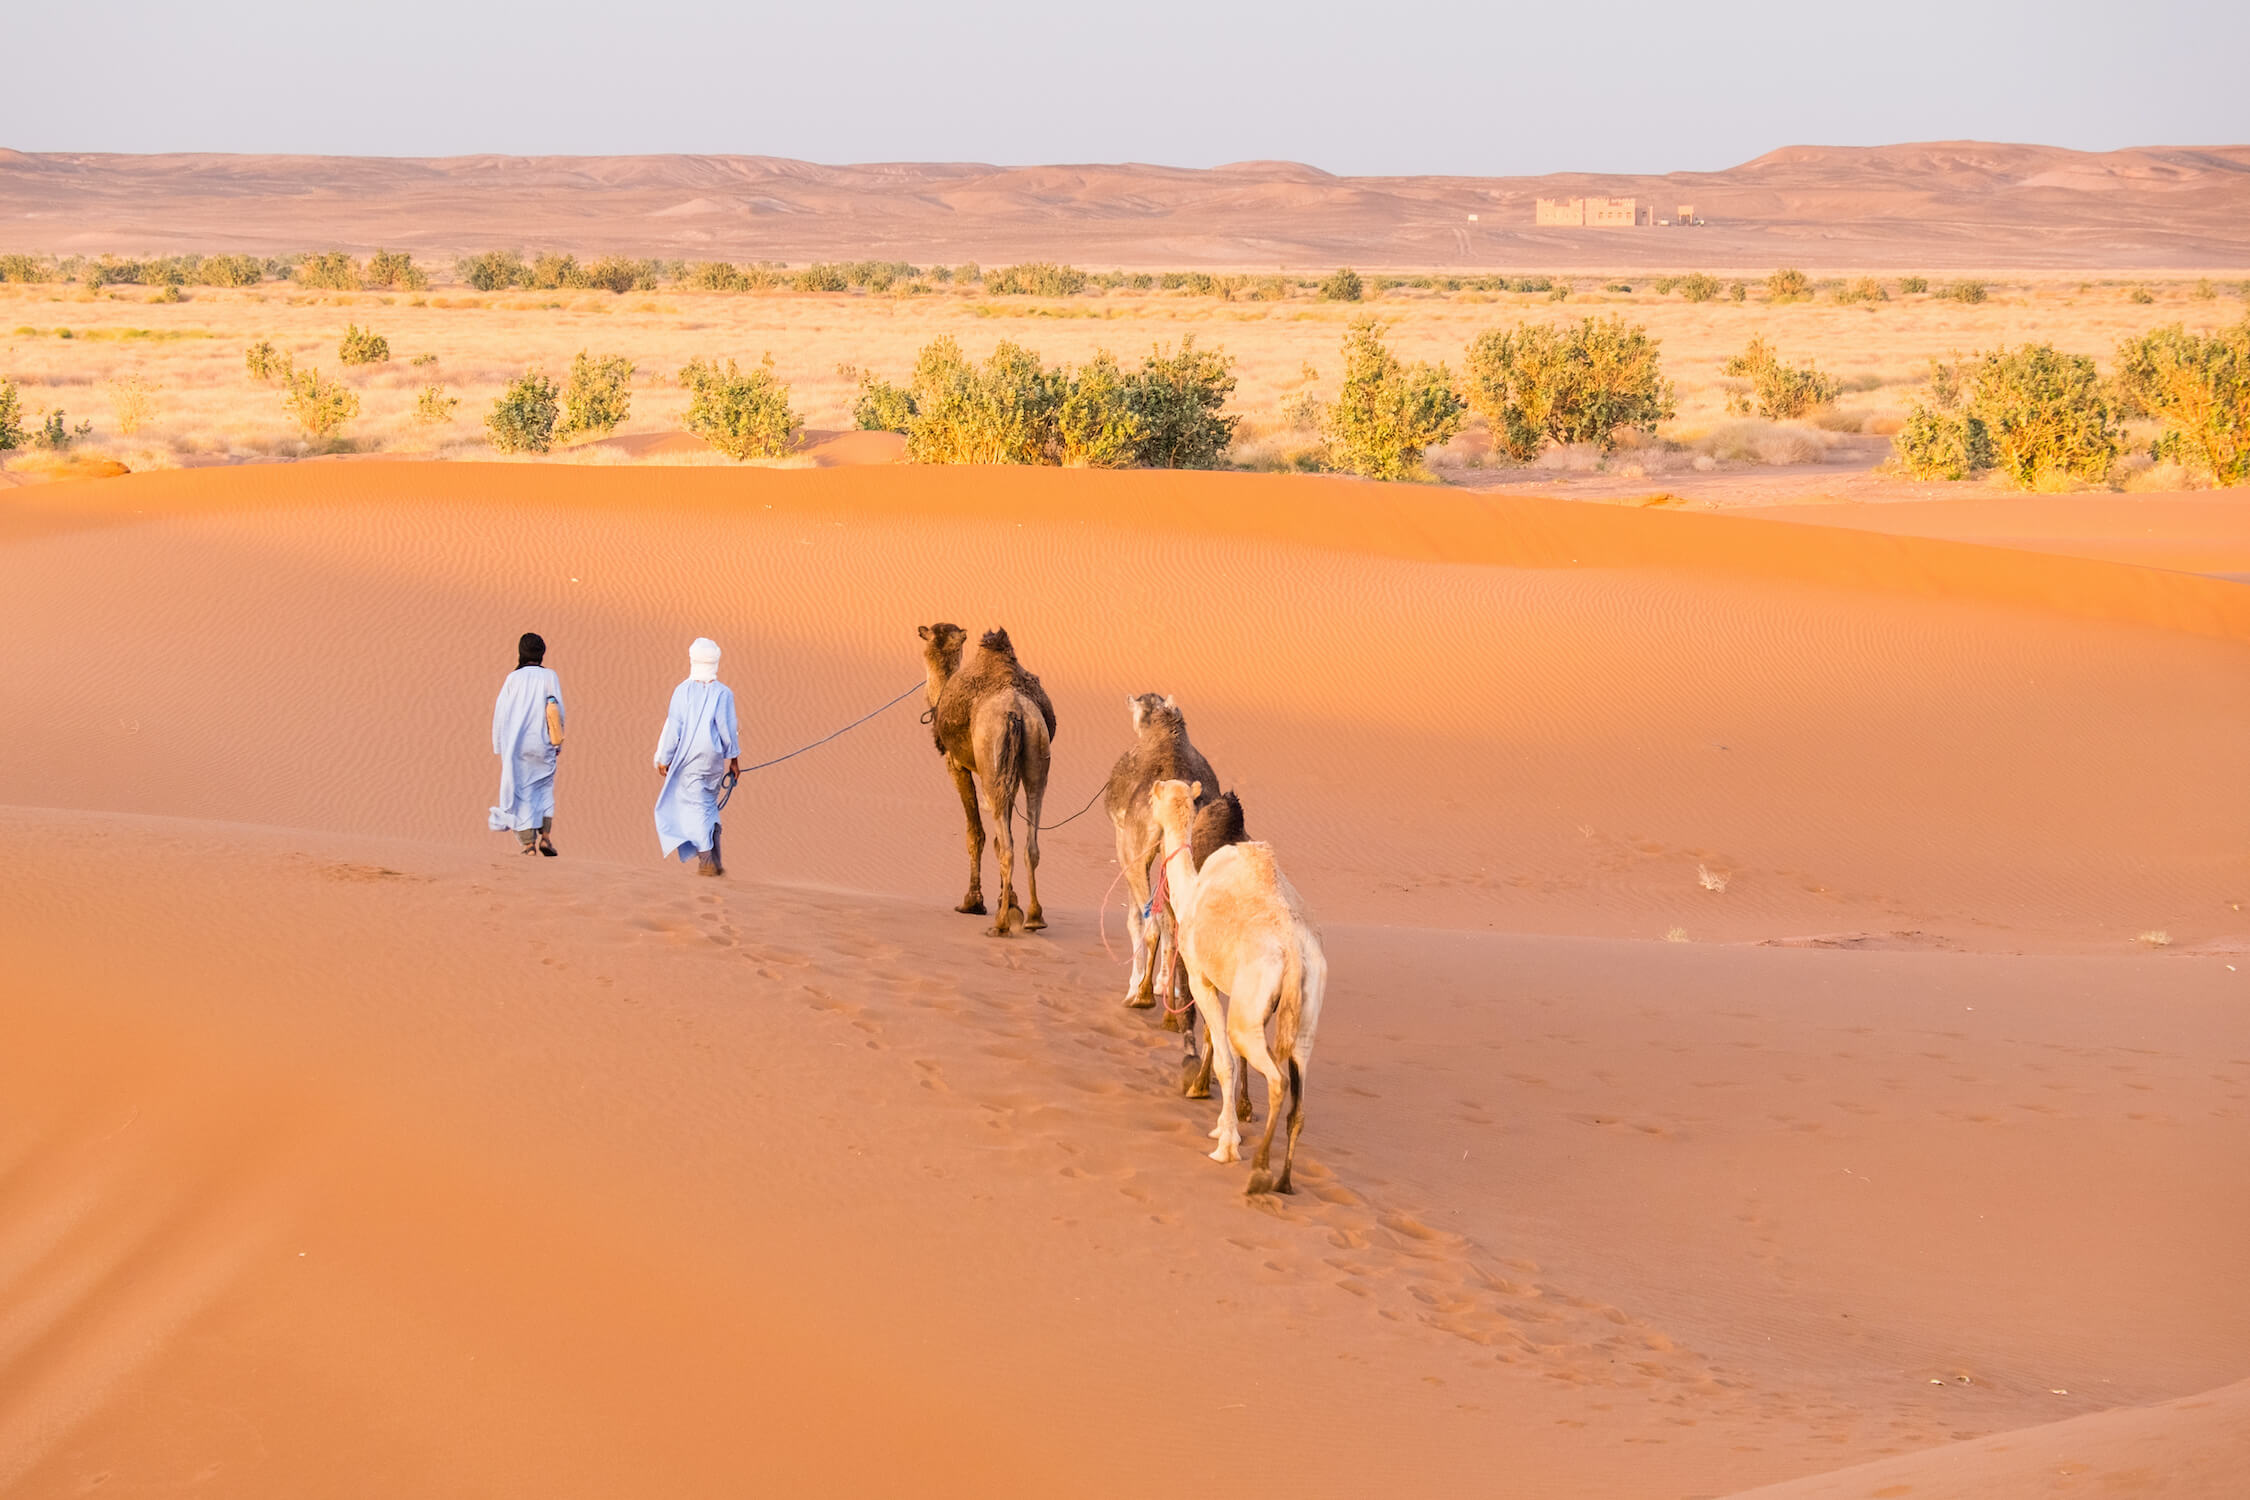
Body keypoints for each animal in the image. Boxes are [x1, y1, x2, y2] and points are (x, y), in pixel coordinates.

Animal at [913, 620, 1053, 926]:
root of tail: (1015, 712)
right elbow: (1000, 836)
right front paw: (1009, 900)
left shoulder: (956, 765)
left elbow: (975, 833)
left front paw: (973, 901)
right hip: (1036, 755)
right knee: (1028, 838)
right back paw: (1034, 916)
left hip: (991, 761)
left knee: (1005, 840)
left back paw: (1001, 923)